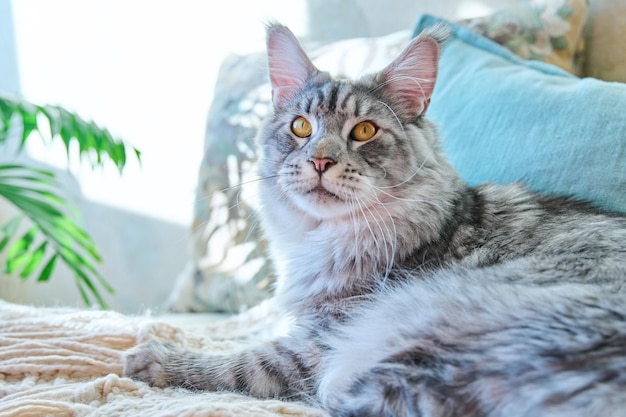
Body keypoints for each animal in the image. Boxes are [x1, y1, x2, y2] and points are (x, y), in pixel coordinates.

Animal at [124, 23, 624, 416]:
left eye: (364, 132)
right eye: (301, 127)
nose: (320, 161)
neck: (317, 240)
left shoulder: (324, 340)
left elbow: (246, 362)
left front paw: (156, 356)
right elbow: (244, 332)